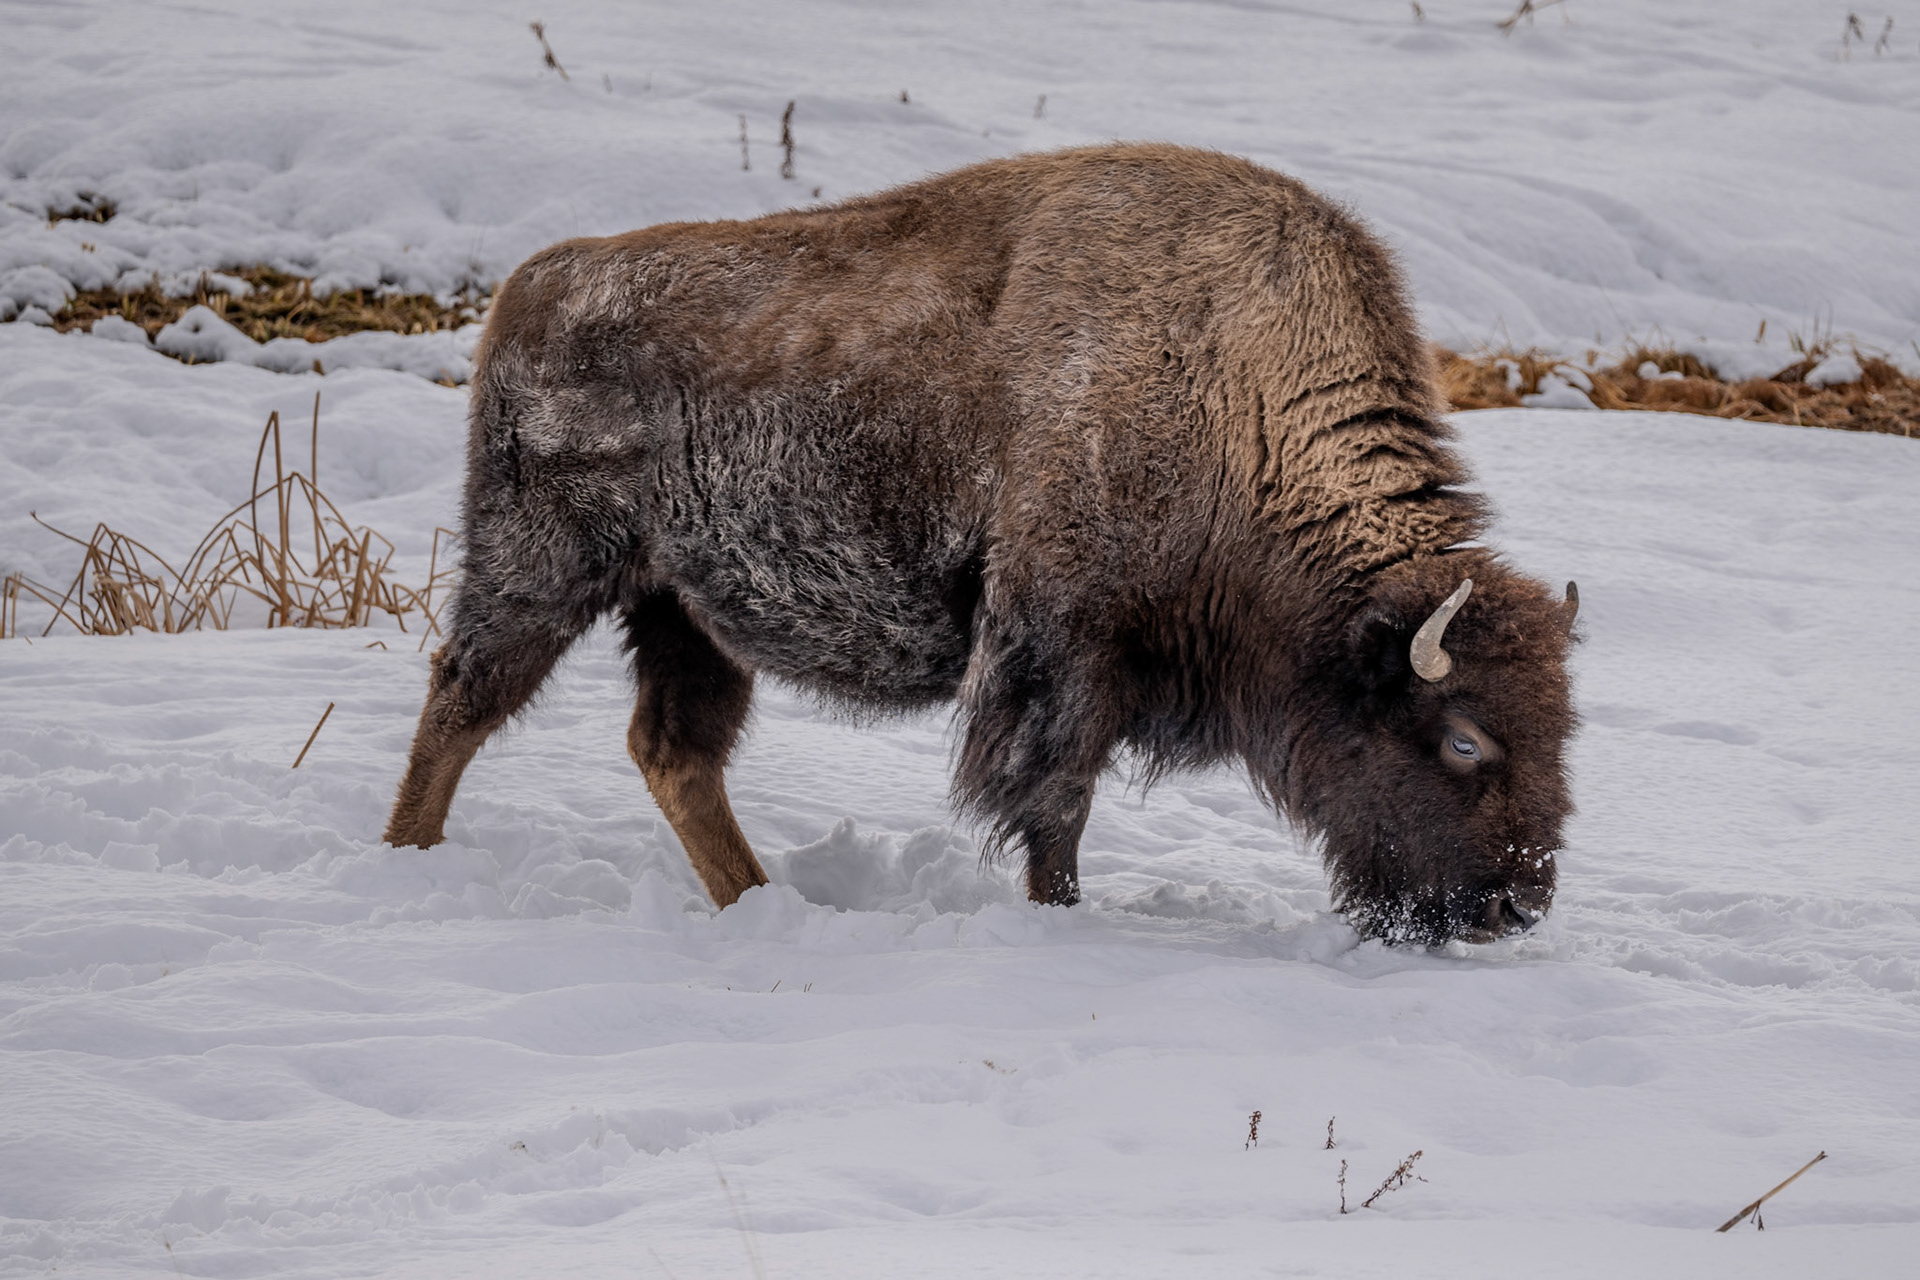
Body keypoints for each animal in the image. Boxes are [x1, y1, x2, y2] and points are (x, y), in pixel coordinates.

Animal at [386, 143, 1578, 945]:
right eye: (1464, 741)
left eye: (1562, 732)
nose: (1516, 905)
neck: (1231, 394)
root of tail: (529, 287)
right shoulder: (1059, 650)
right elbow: (1053, 806)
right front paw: (1061, 919)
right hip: (543, 569)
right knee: (462, 698)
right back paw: (407, 858)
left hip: (681, 610)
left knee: (674, 752)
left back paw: (761, 903)